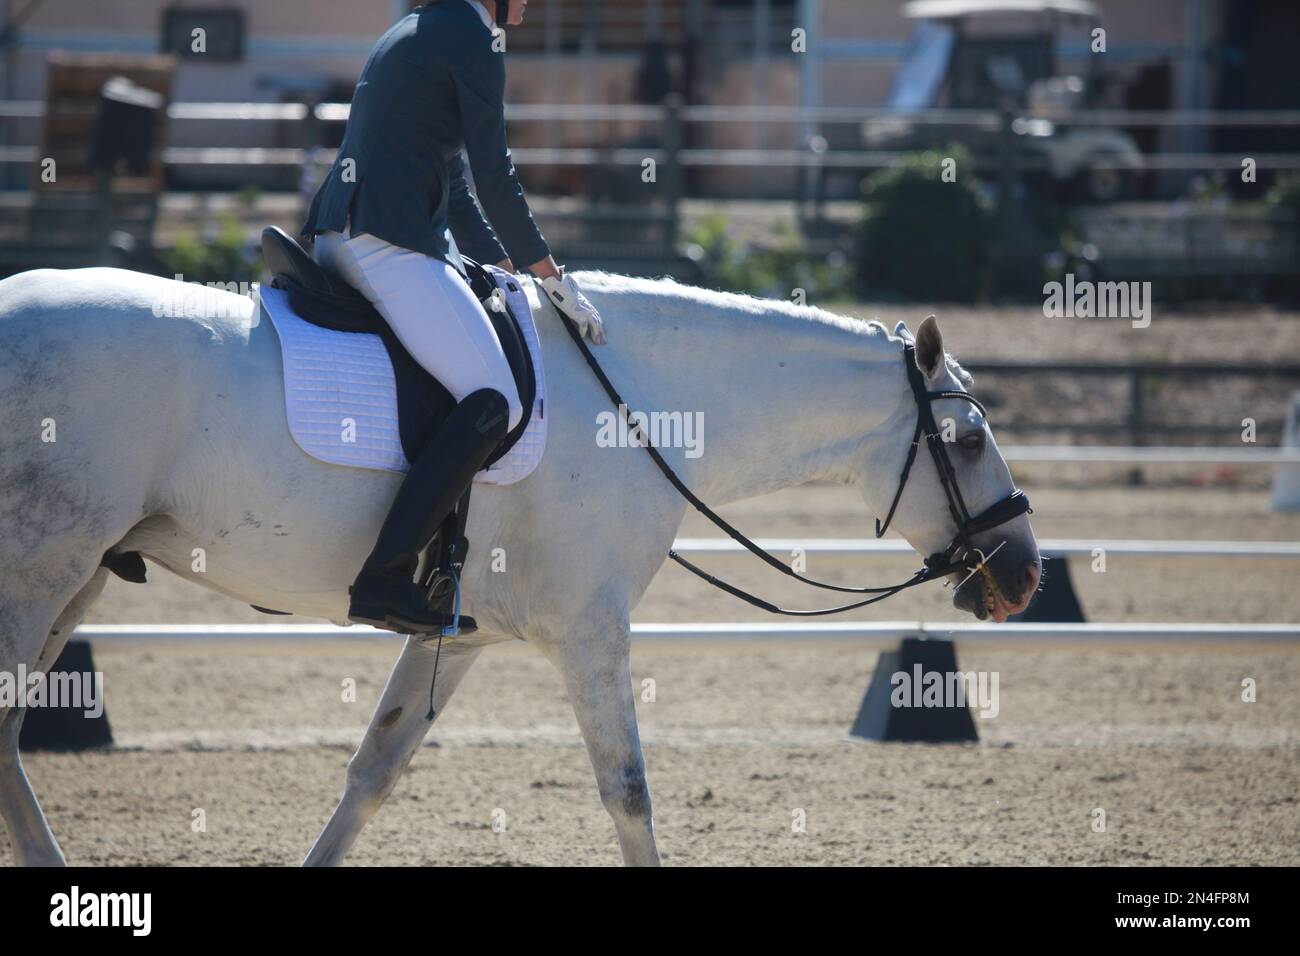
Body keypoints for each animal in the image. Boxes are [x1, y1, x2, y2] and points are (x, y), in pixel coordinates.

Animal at [0, 267, 1034, 868]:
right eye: (968, 439)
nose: (1022, 575)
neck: (641, 406)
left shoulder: (455, 639)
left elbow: (373, 772)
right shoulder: (589, 632)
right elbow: (628, 790)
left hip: (78, 577)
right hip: (42, 572)